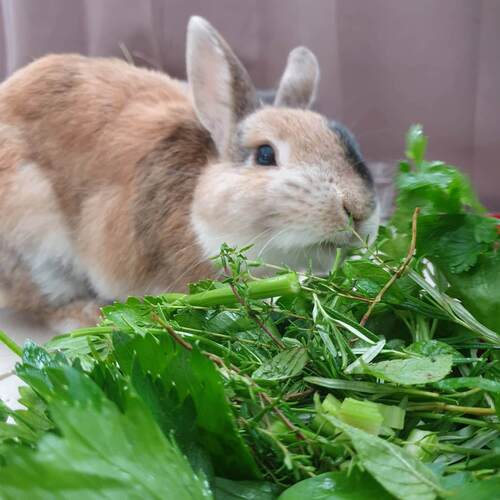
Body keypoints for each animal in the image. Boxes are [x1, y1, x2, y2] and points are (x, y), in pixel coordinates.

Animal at [0, 15, 376, 332]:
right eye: (265, 155)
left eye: (347, 140)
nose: (358, 210)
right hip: (38, 246)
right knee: (45, 304)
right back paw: (90, 315)